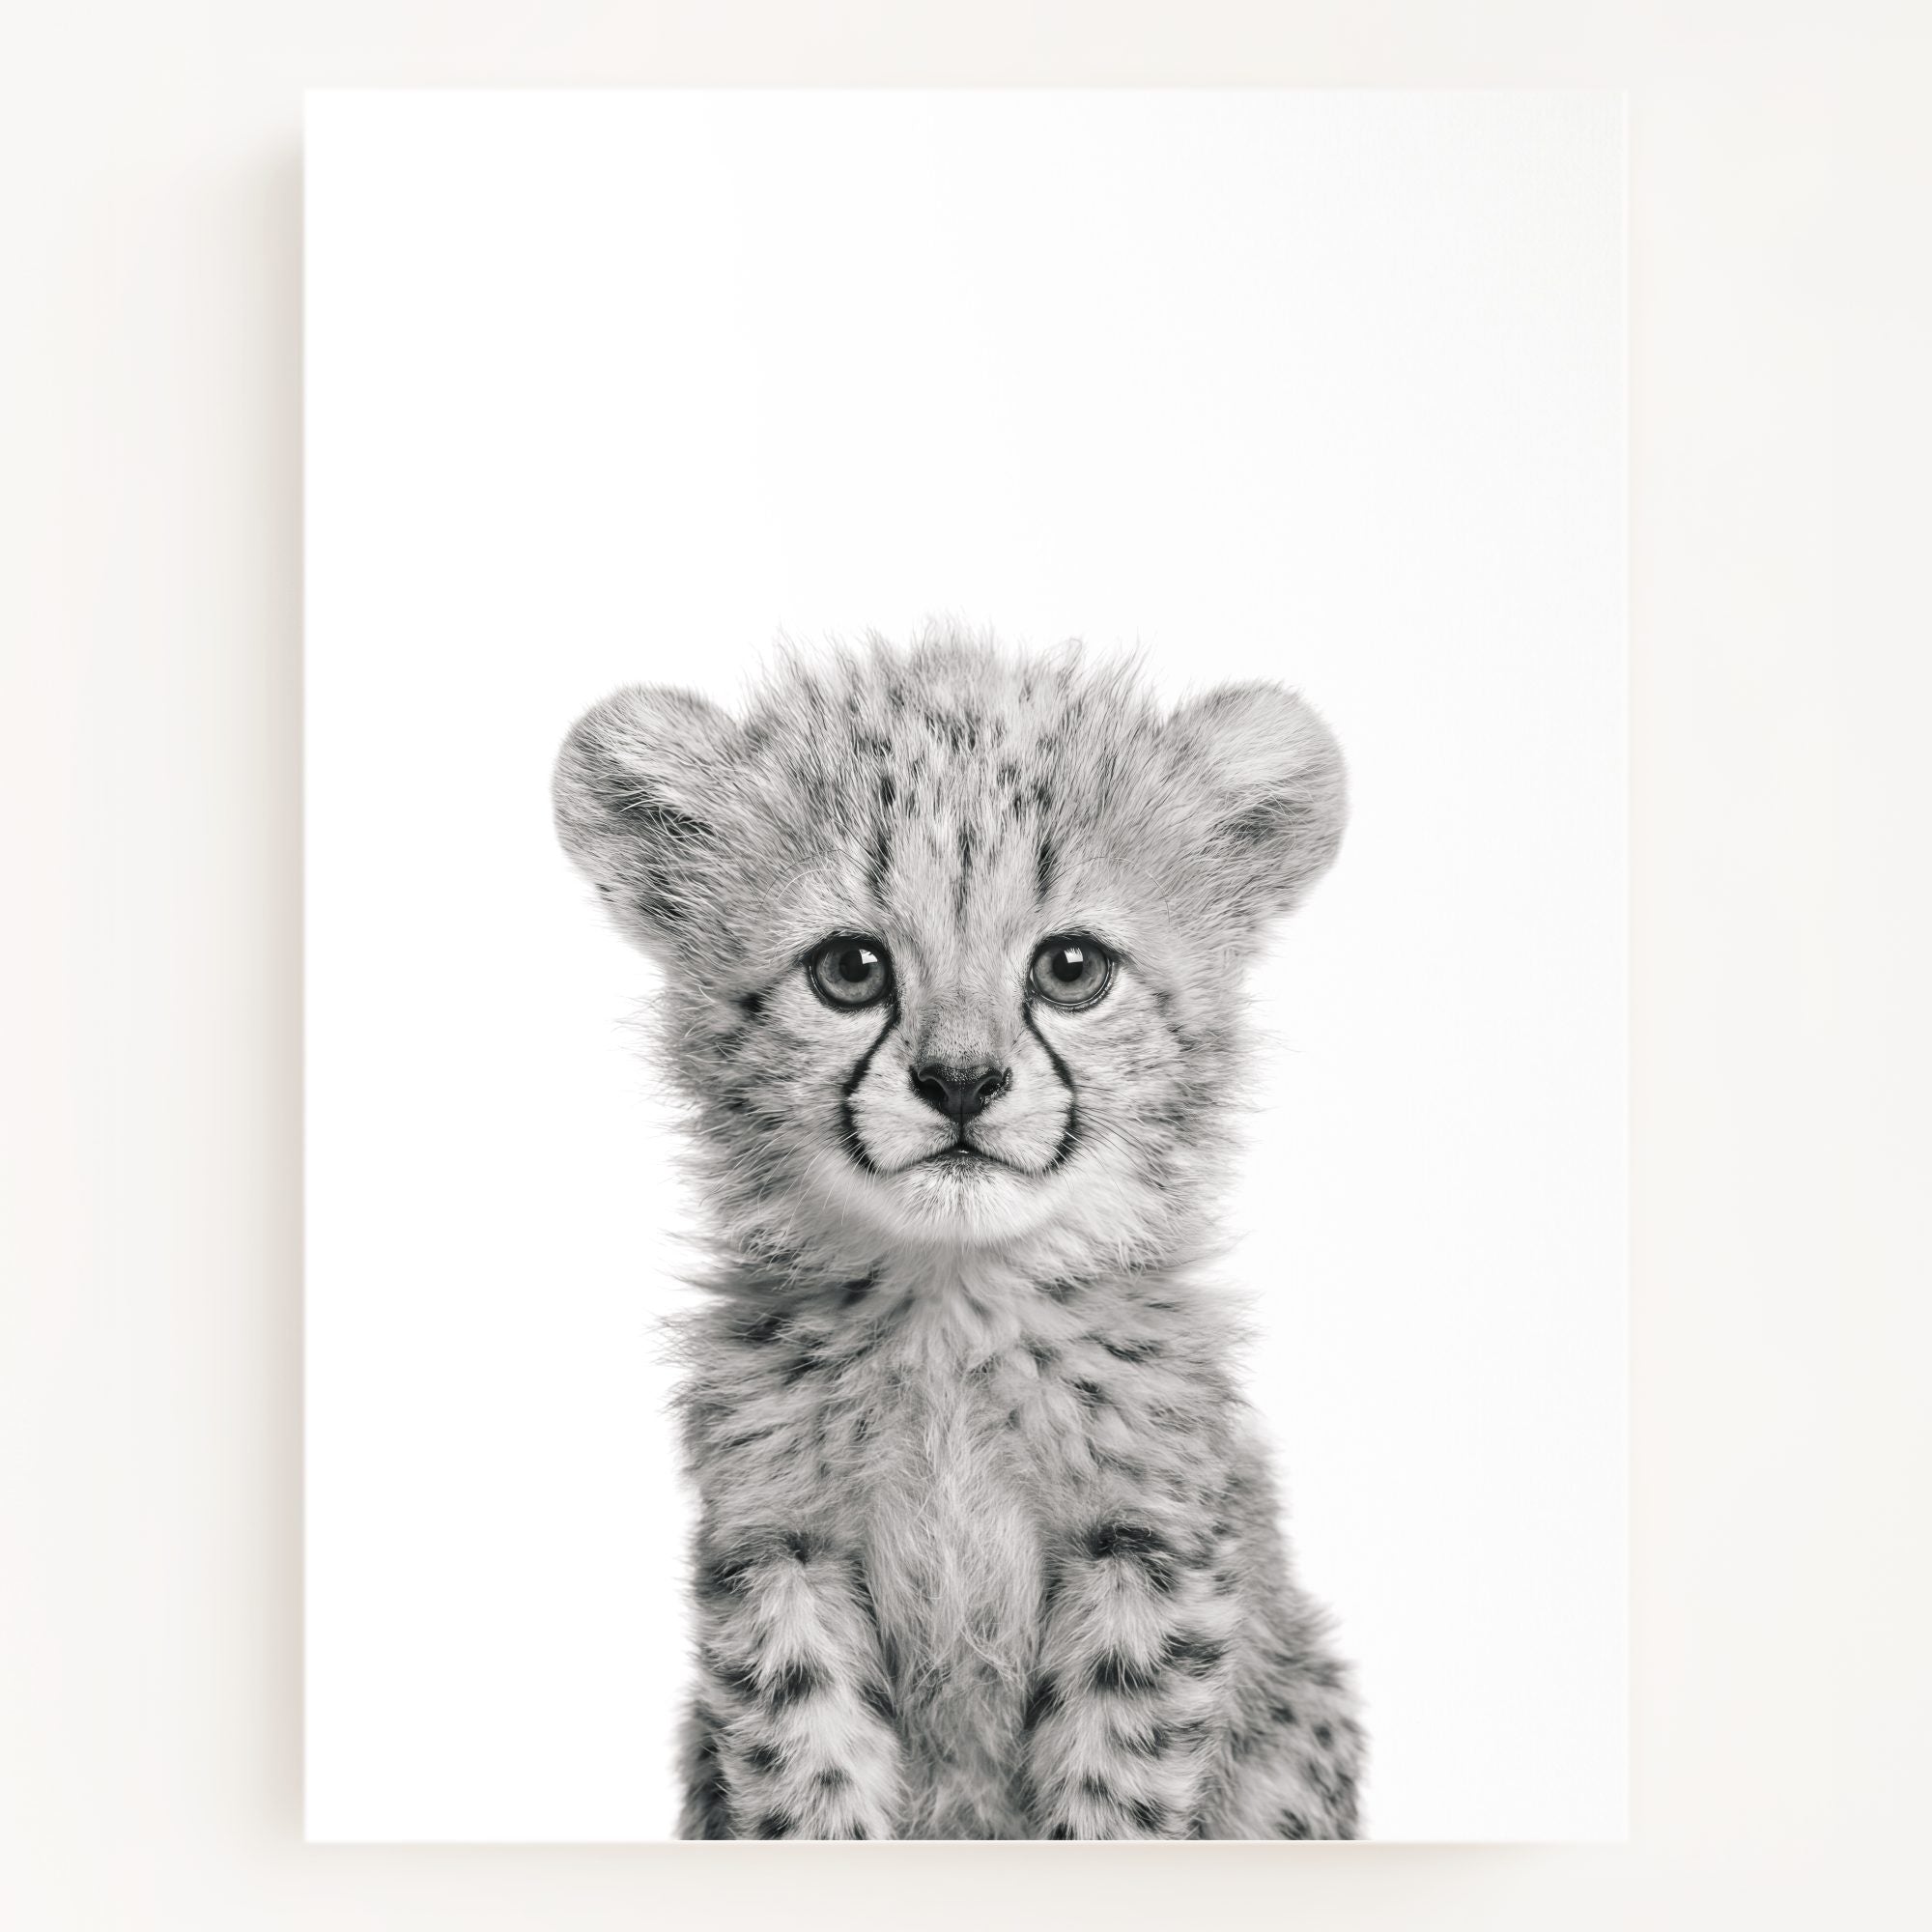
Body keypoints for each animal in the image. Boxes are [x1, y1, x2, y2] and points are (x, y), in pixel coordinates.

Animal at [553, 626, 1365, 1839]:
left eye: (1070, 968)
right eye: (849, 969)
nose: (961, 1081)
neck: (952, 1303)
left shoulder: (1144, 1544)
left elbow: (1116, 1785)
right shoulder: (778, 1548)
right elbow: (806, 1774)